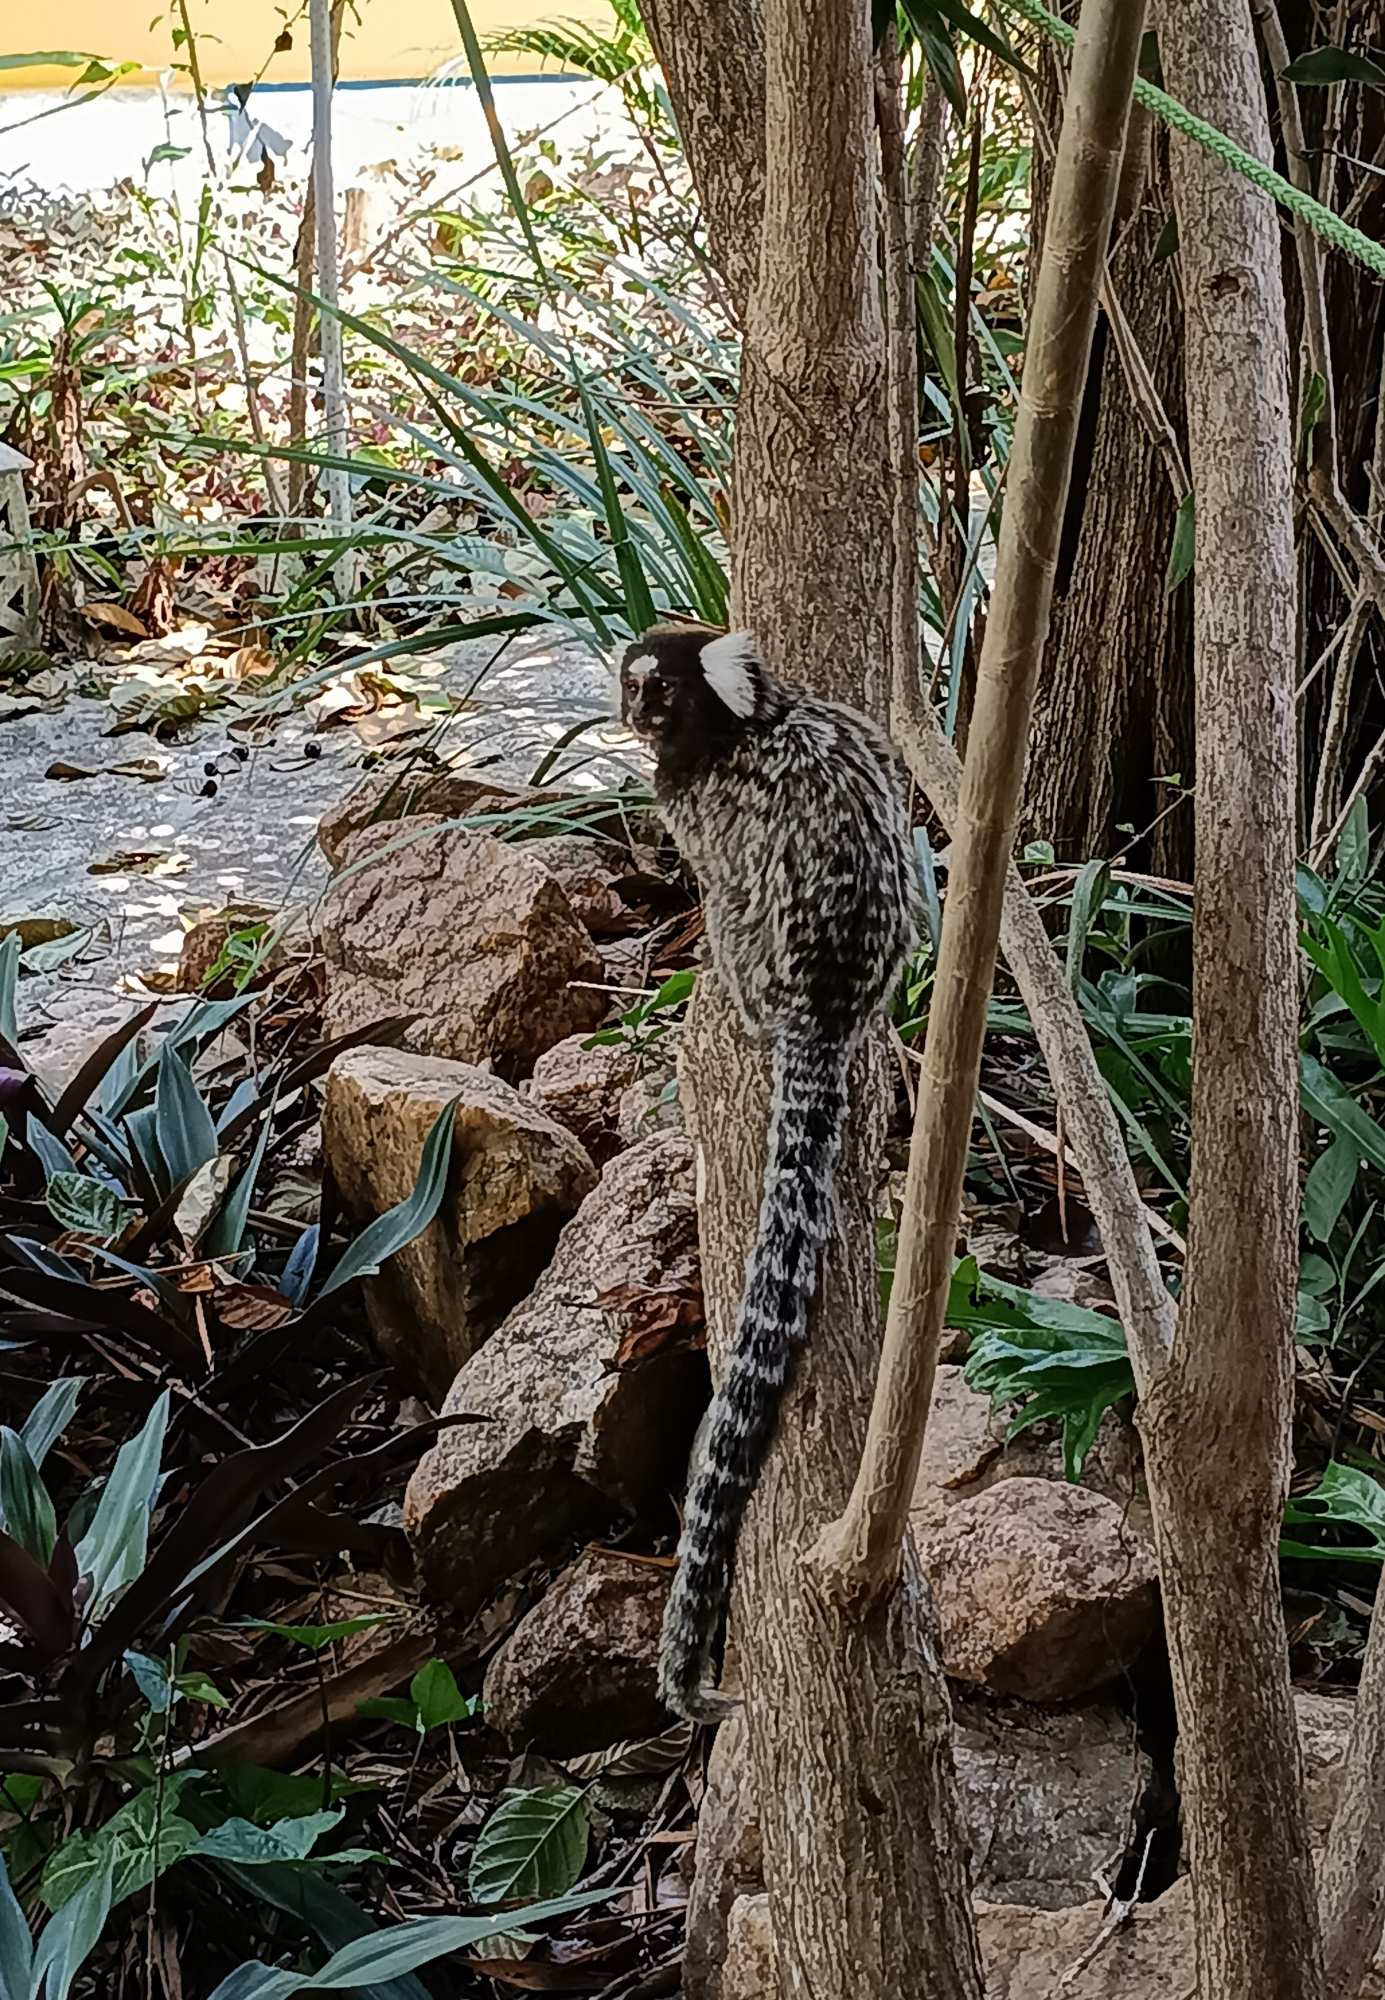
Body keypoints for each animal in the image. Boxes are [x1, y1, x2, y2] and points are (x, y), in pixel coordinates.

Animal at [618, 621, 920, 1723]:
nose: (629, 713)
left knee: (735, 918)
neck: (751, 722)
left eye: (652, 690)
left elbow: (708, 847)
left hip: (760, 952)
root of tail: (822, 1005)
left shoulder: (699, 799)